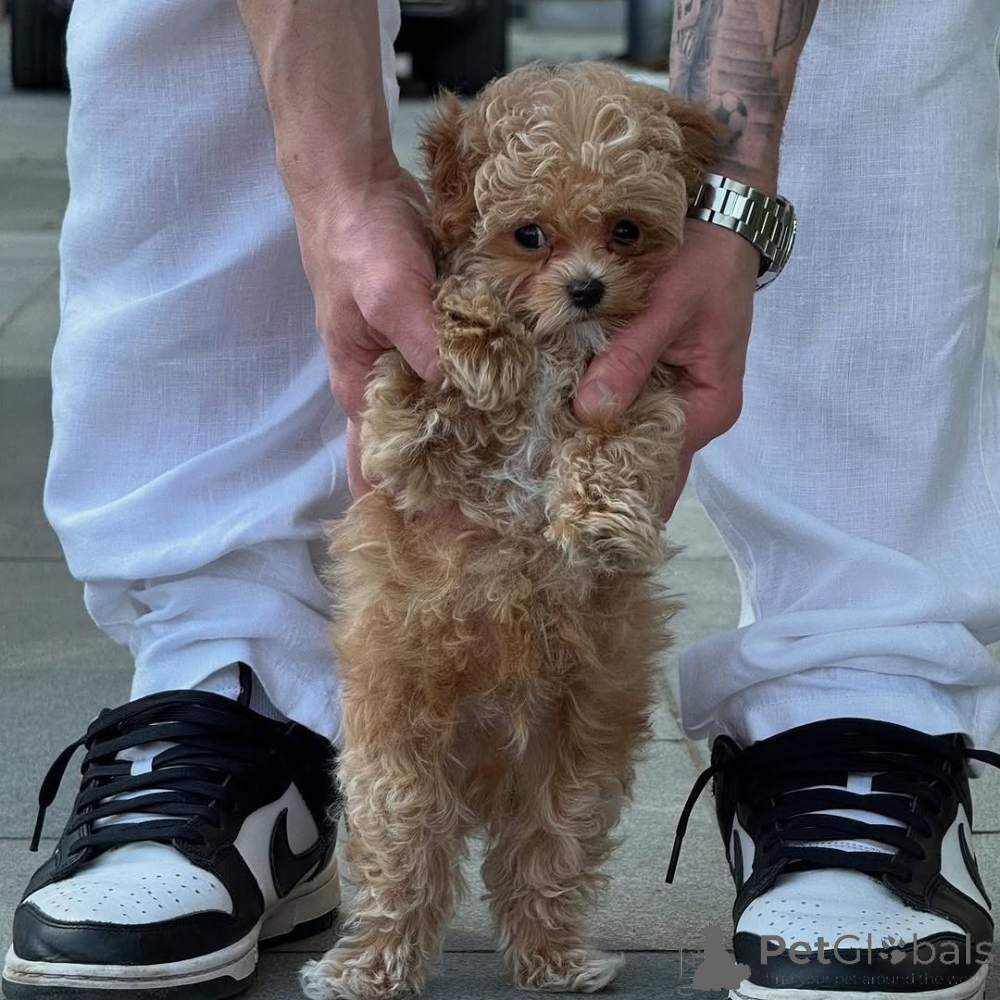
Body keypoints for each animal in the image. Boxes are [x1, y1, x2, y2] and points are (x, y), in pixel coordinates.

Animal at [301, 62, 723, 1000]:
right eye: (529, 235)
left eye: (625, 229)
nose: (586, 288)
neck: (558, 349)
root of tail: (486, 772)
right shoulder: (399, 437)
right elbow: (421, 372)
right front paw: (478, 339)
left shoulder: (638, 385)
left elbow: (618, 432)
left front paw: (598, 520)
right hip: (399, 763)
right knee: (406, 866)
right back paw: (371, 966)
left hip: (572, 764)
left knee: (541, 861)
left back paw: (555, 960)